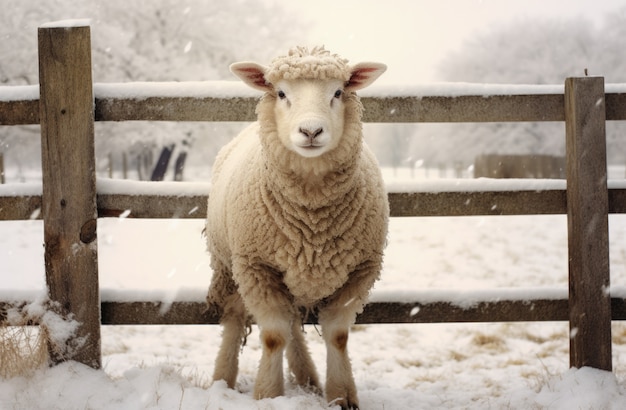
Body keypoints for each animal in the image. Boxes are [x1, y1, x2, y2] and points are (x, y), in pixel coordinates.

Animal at [205, 46, 388, 408]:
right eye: (281, 93)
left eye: (337, 92)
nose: (311, 132)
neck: (313, 215)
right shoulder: (257, 267)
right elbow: (274, 336)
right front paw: (268, 395)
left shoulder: (361, 269)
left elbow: (338, 335)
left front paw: (341, 395)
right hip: (228, 263)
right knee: (235, 318)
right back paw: (222, 379)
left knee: (292, 322)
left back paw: (308, 378)